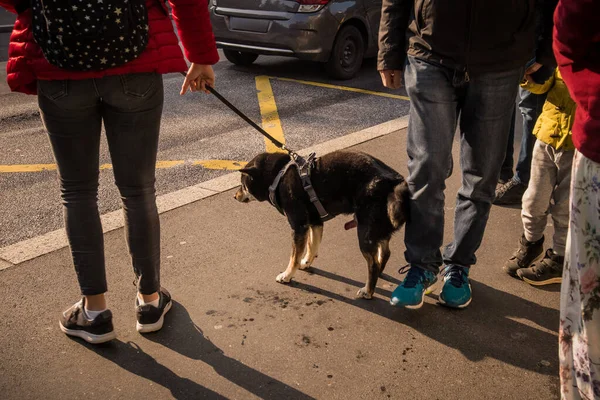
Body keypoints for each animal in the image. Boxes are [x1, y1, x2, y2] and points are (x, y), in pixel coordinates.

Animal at [234, 152, 408, 298]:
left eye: (243, 183)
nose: (235, 196)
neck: (278, 176)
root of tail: (395, 182)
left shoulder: (299, 226)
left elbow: (294, 256)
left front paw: (287, 275)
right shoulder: (315, 223)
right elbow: (312, 246)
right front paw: (306, 262)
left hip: (365, 233)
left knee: (373, 264)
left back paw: (368, 290)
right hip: (378, 229)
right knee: (384, 254)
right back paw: (378, 275)